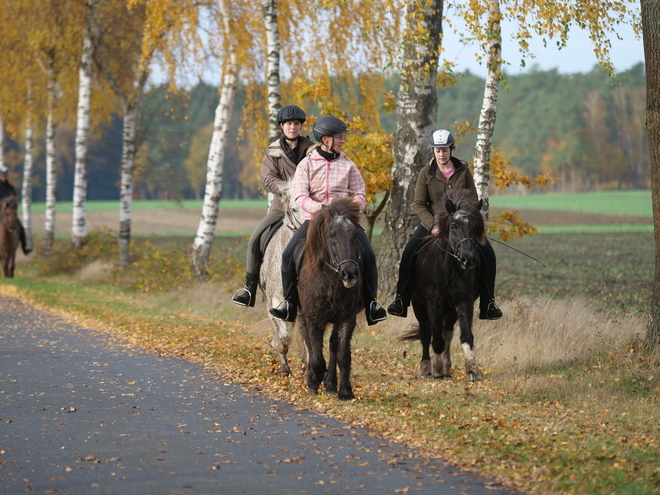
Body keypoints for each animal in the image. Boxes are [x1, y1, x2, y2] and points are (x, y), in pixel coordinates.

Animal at [296, 197, 364, 400]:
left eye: (355, 235)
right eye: (332, 235)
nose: (349, 274)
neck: (331, 280)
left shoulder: (347, 318)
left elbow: (343, 355)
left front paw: (345, 391)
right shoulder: (313, 318)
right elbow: (317, 357)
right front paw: (313, 380)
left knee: (333, 344)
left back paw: (331, 384)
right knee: (310, 342)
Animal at [400, 190, 488, 384]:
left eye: (476, 226)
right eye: (453, 226)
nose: (468, 260)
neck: (450, 268)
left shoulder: (464, 302)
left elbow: (466, 336)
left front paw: (472, 370)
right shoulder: (434, 304)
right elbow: (435, 337)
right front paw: (437, 370)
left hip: (450, 309)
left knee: (447, 332)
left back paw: (447, 366)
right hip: (419, 305)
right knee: (426, 333)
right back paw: (427, 368)